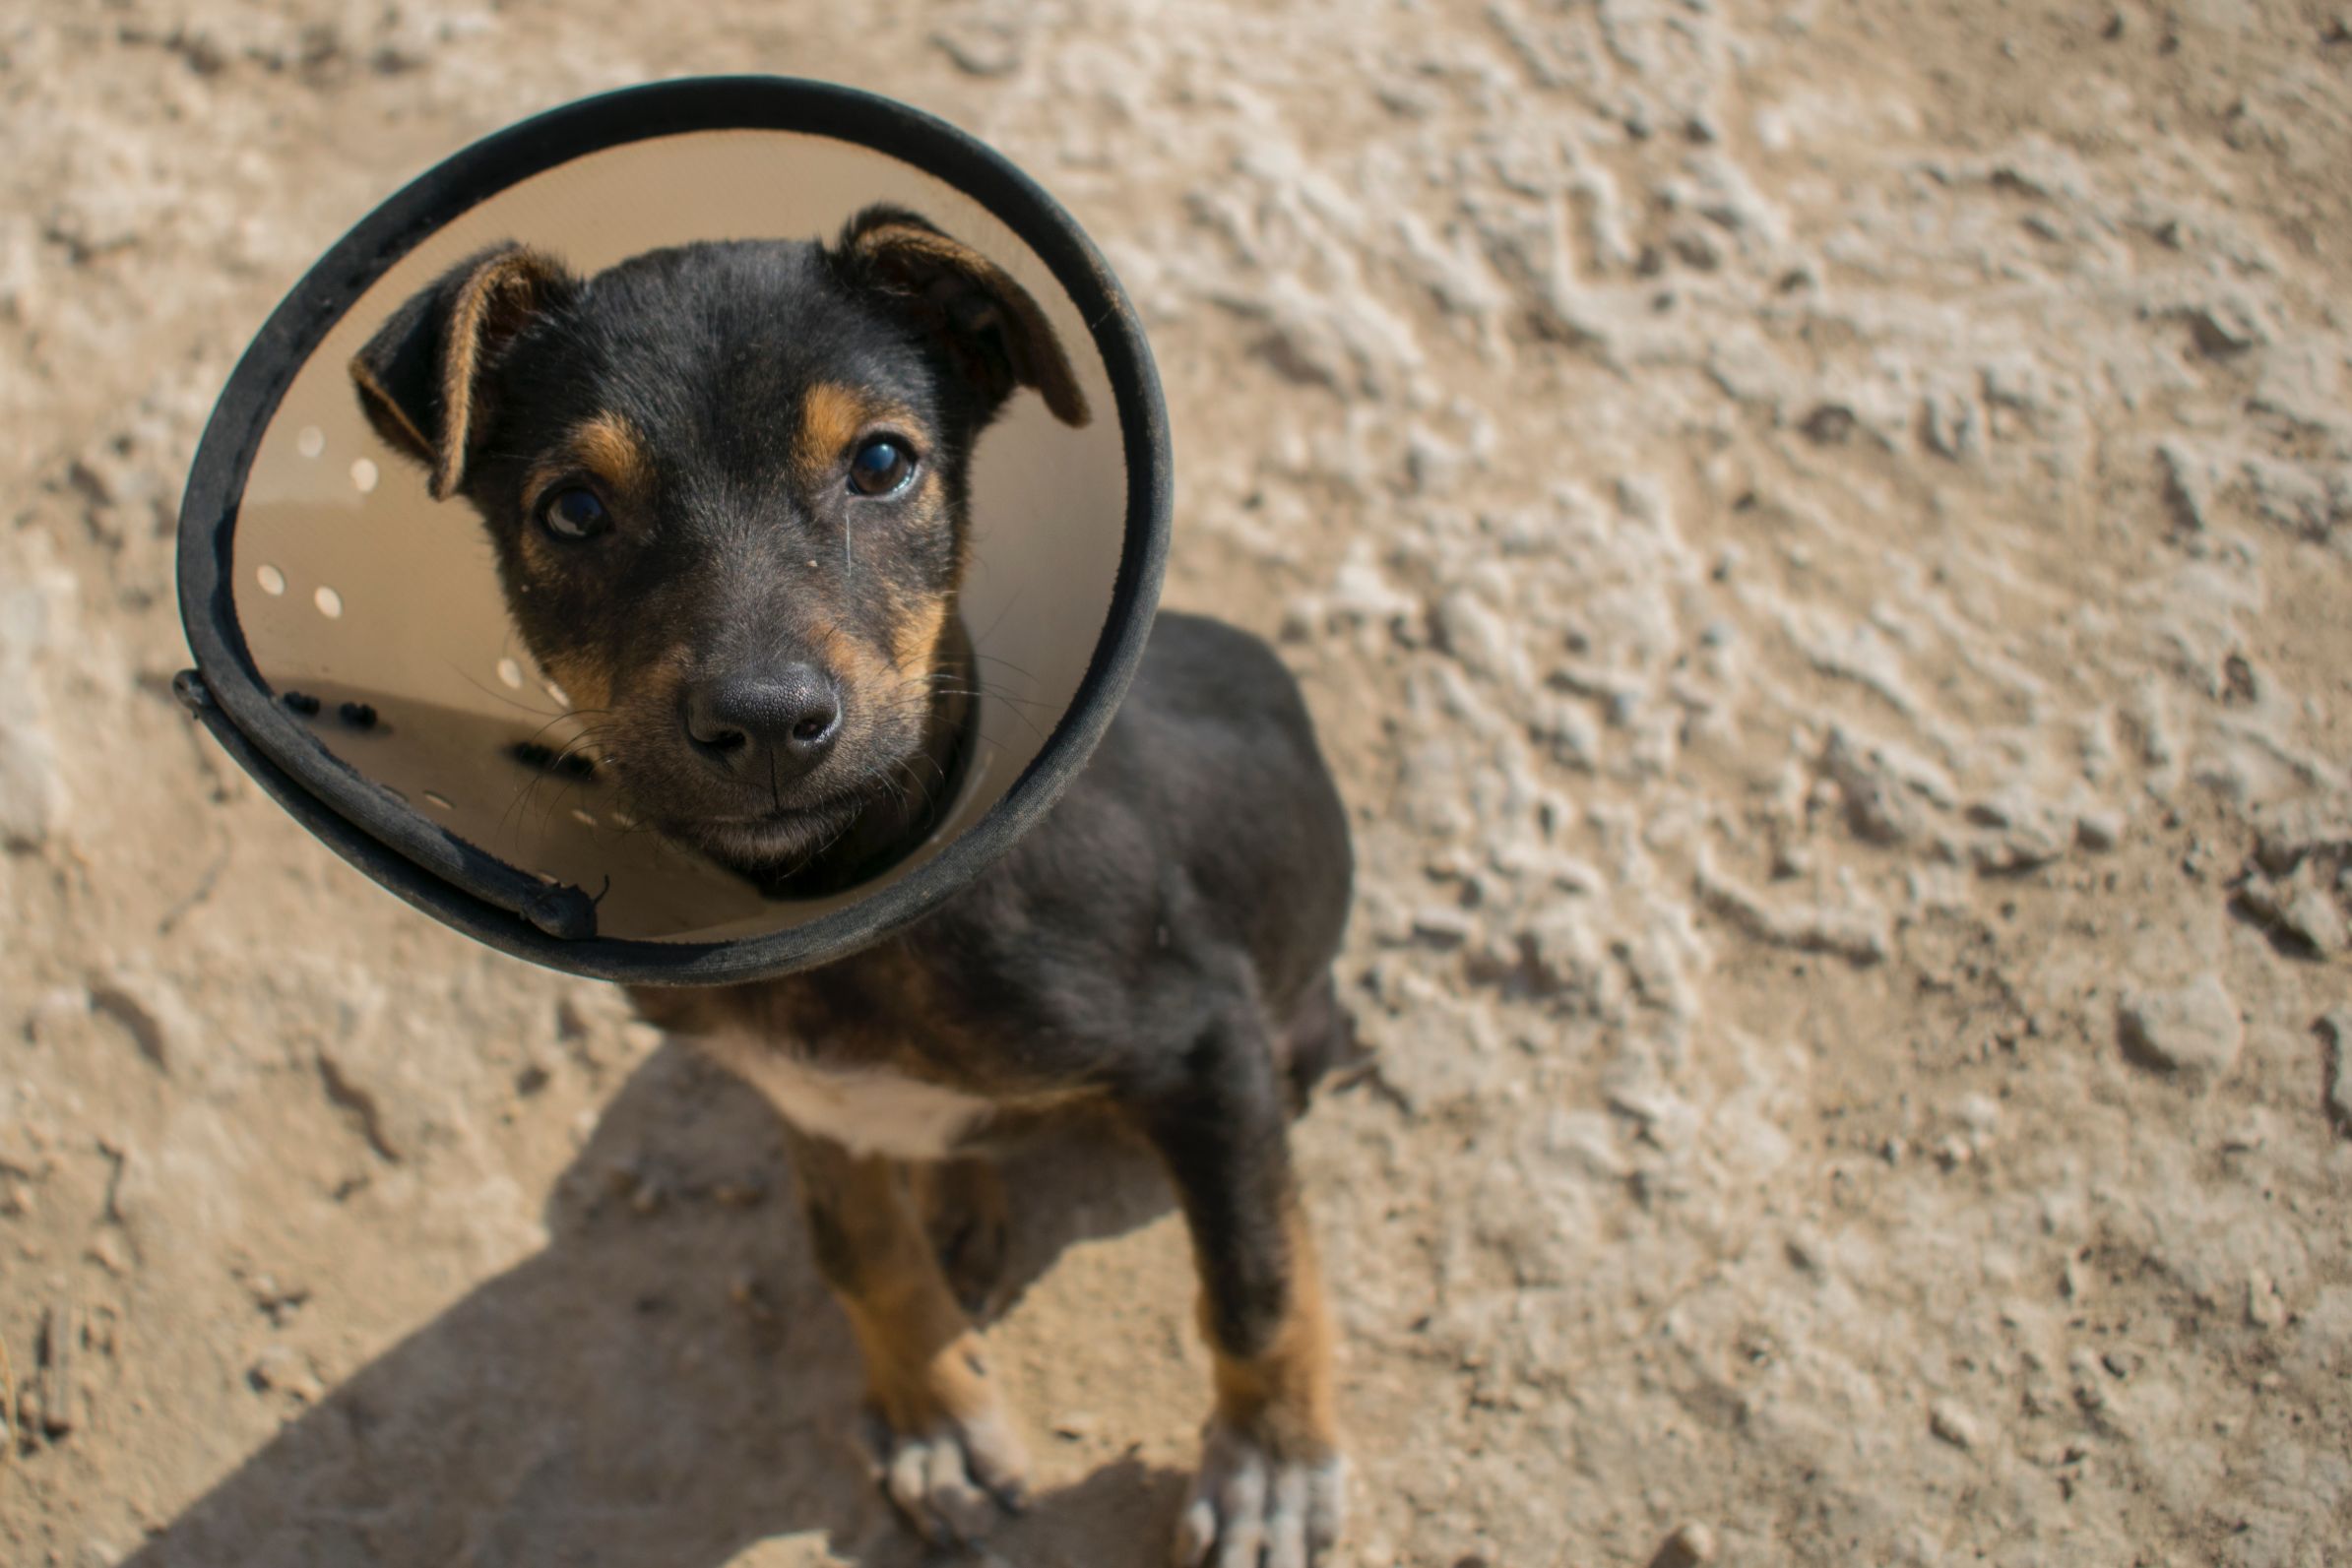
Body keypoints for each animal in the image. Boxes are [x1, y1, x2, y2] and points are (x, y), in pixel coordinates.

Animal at [341, 208, 1355, 1568]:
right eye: (572, 510)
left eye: (881, 463)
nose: (767, 724)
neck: (840, 910)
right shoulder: (801, 1093)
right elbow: (855, 1251)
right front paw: (936, 1415)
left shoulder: (1205, 1045)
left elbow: (1255, 1274)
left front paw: (1270, 1464)